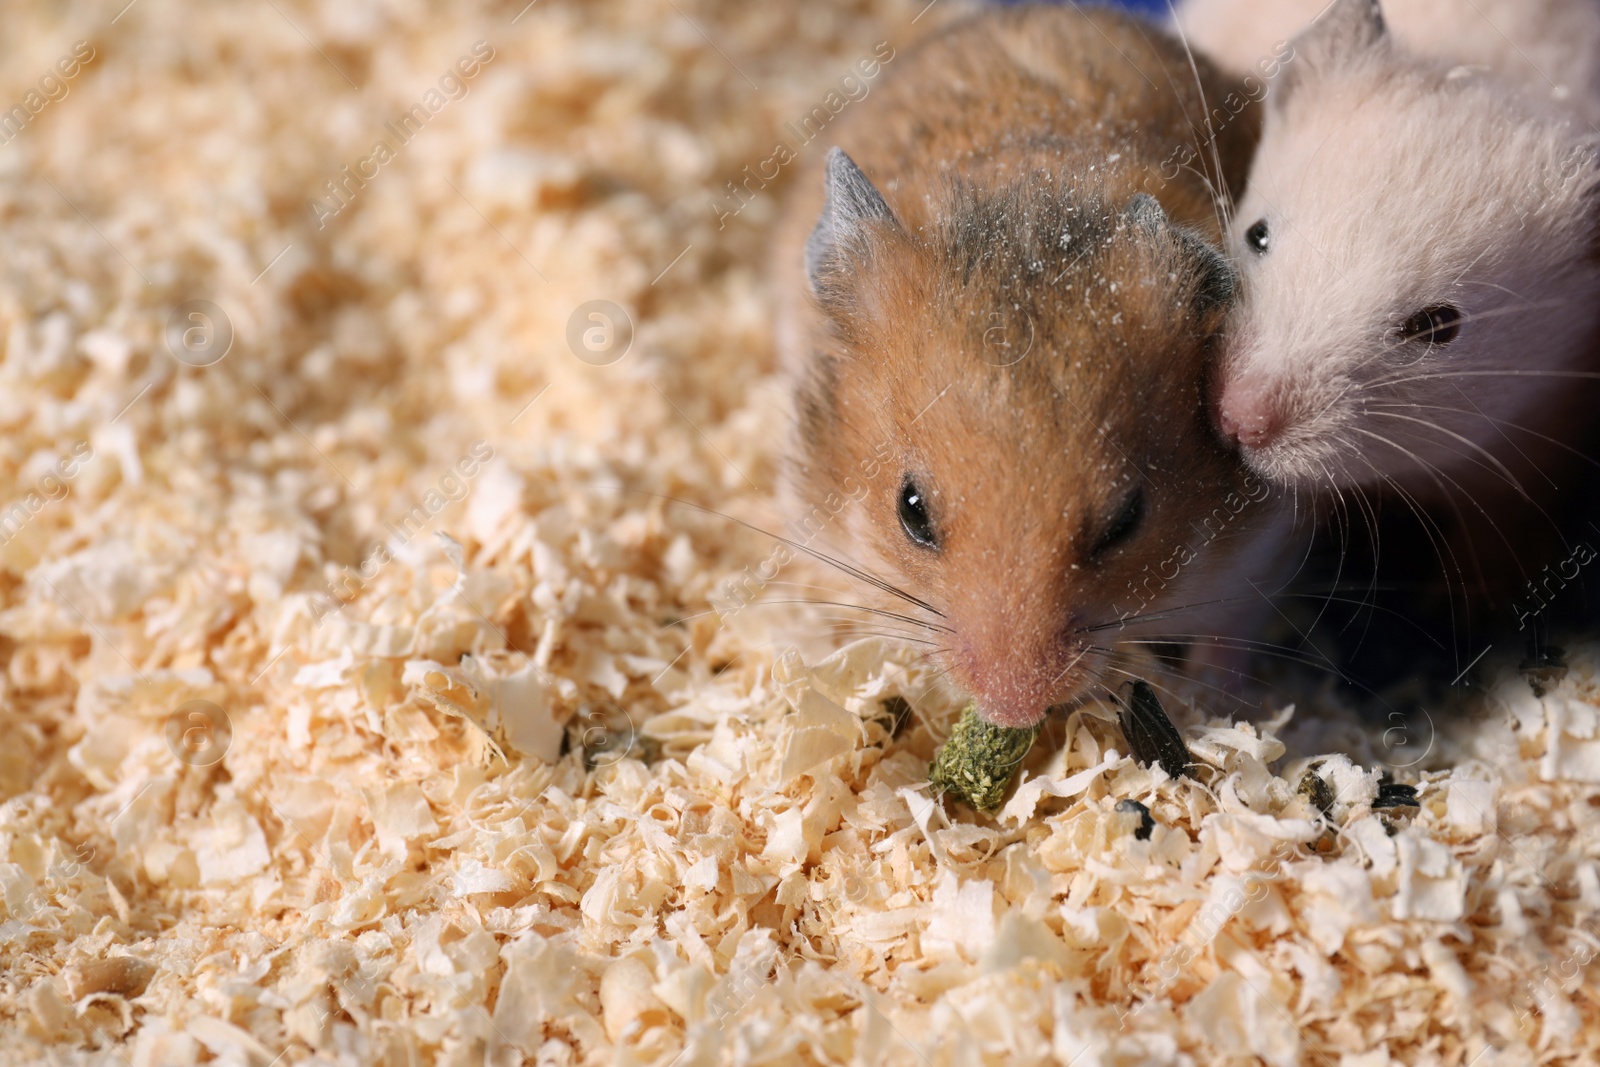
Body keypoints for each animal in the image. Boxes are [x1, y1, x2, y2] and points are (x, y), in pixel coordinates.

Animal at [774, 4, 1286, 729]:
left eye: (1126, 520)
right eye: (911, 511)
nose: (1013, 708)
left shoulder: (1260, 547)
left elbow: (1230, 632)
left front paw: (1207, 706)